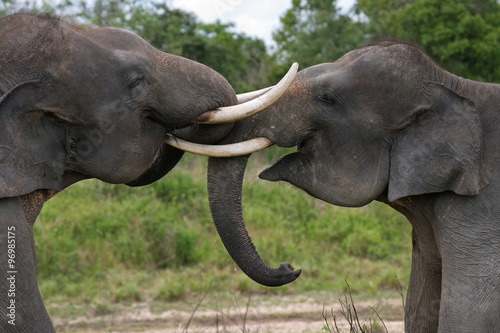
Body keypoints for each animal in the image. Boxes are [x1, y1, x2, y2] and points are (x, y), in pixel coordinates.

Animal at [169, 41, 500, 332]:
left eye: (327, 98)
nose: (289, 267)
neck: (452, 86)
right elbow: (420, 308)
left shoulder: (480, 216)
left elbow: (468, 316)